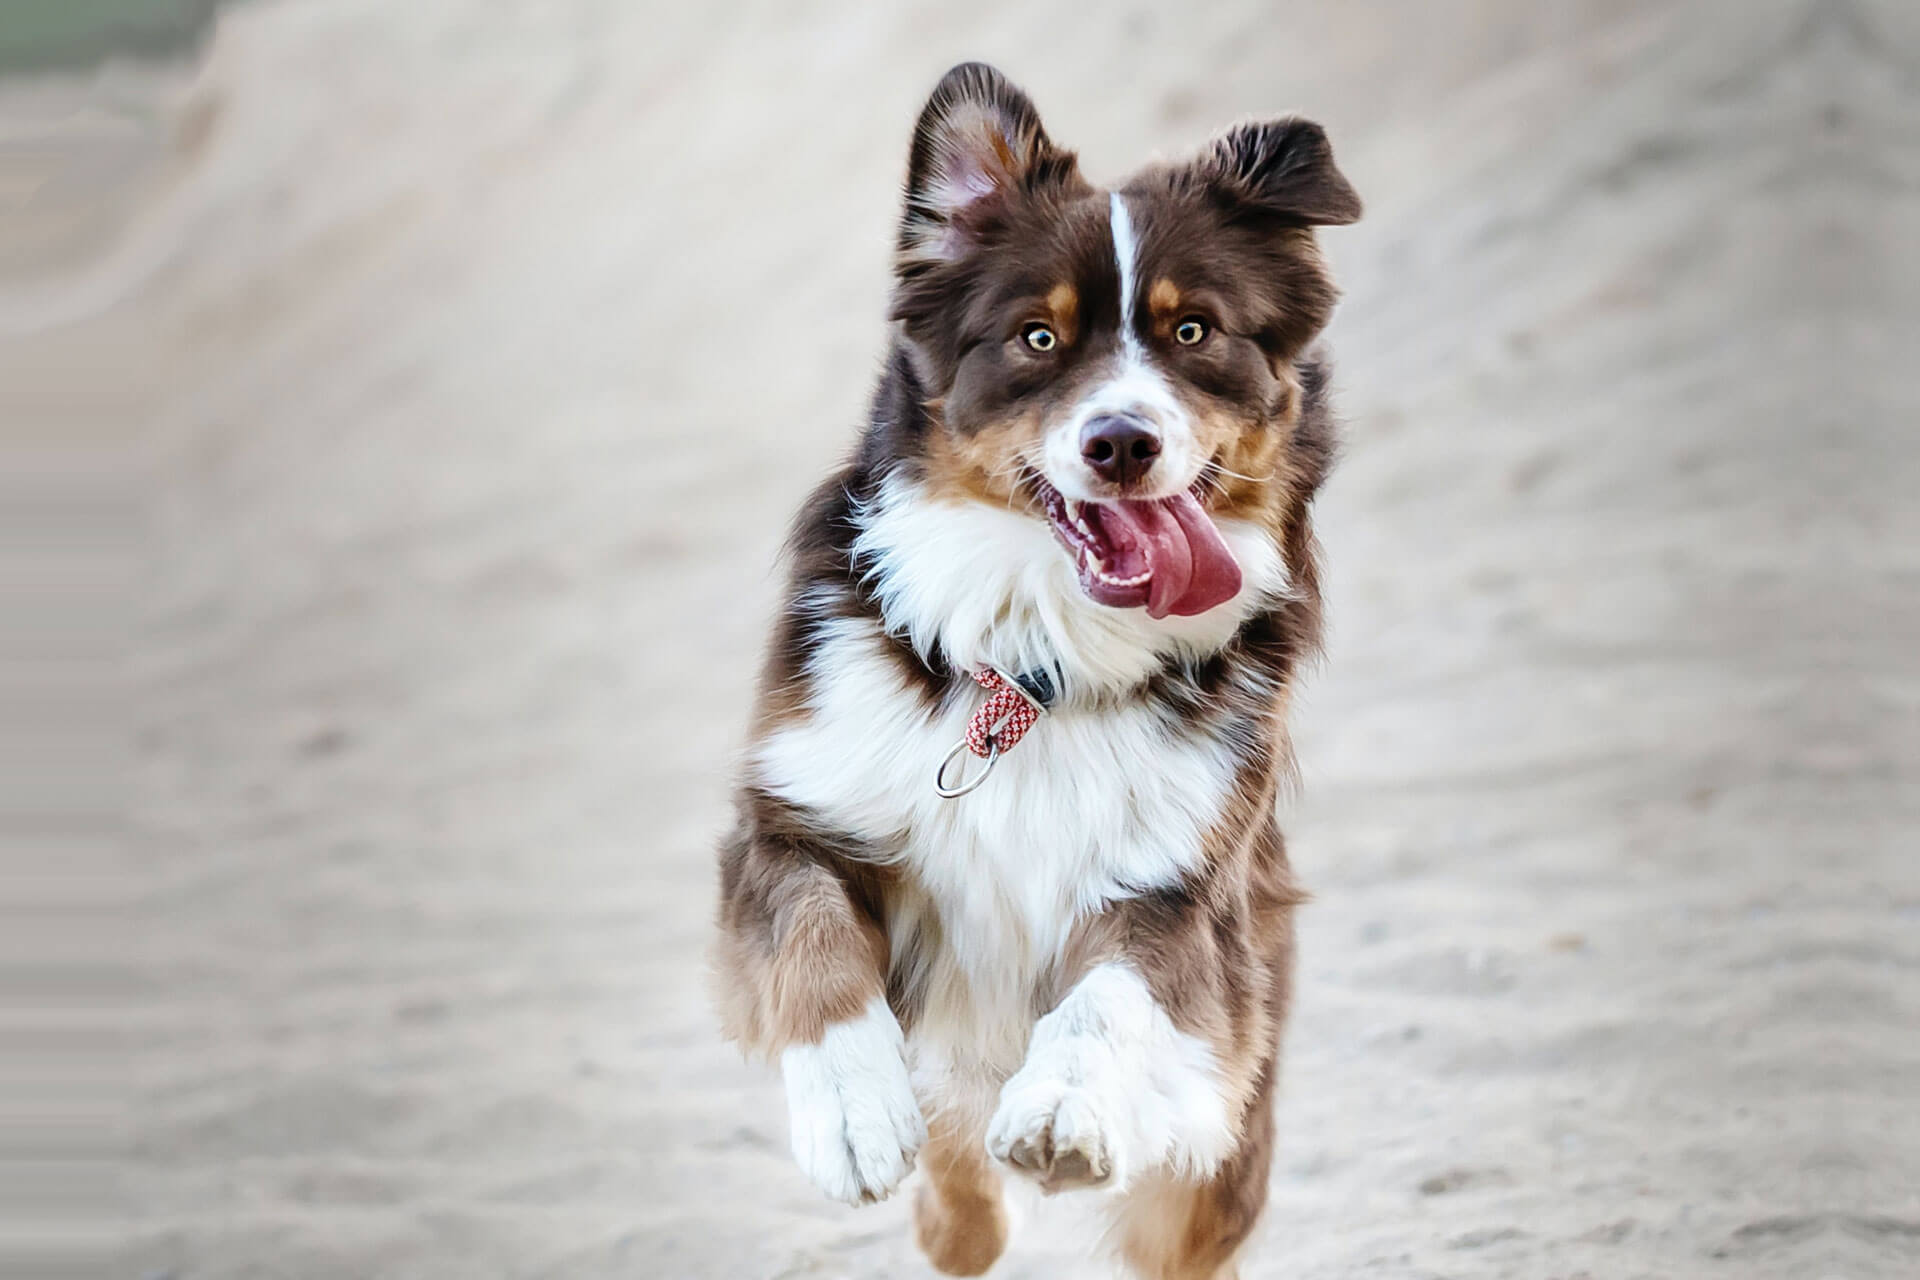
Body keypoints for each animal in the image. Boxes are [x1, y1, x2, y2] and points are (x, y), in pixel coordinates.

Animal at [714, 62, 1359, 1280]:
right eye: (1038, 339)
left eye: (1193, 330)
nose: (1122, 442)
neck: (1035, 665)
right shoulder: (792, 817)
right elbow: (813, 943)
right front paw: (854, 1114)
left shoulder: (1180, 890)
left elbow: (1109, 996)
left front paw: (1063, 1108)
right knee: (960, 1187)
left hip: (1222, 1144)